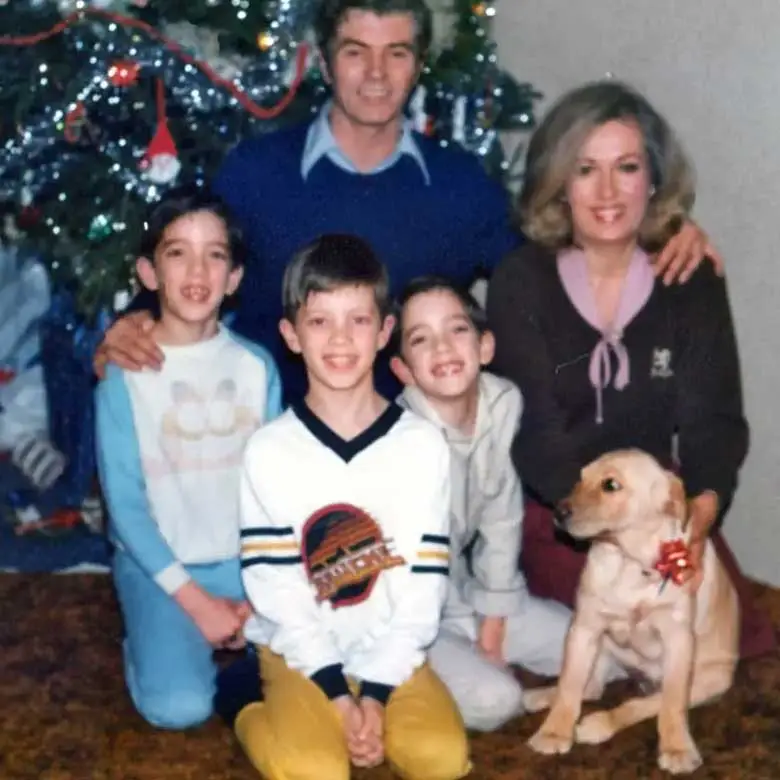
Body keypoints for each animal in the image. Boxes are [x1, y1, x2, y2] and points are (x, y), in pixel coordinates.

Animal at [524, 448, 736, 772]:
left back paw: (599, 724)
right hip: (600, 648)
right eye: (580, 478)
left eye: (610, 485)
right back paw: (543, 697)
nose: (558, 513)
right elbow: (568, 686)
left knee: (646, 703)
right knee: (589, 688)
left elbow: (672, 706)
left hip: (708, 680)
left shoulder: (678, 641)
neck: (631, 563)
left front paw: (677, 747)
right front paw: (554, 731)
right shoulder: (584, 628)